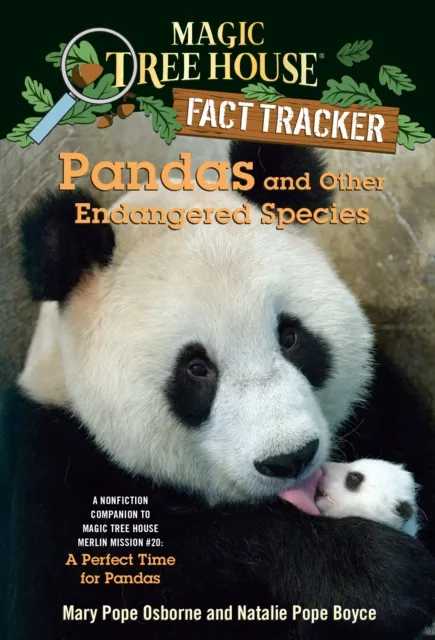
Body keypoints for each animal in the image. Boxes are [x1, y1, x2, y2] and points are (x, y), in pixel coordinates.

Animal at [1, 140, 435, 640]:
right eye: (196, 369)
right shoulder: (53, 465)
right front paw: (370, 573)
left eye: (290, 337)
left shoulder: (382, 404)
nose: (290, 458)